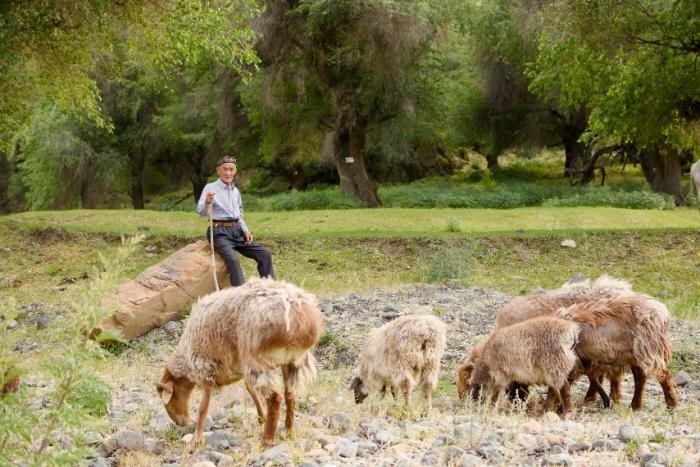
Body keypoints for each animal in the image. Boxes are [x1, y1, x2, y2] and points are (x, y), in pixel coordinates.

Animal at [156, 278, 323, 449]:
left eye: (169, 398)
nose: (180, 423)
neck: (186, 358)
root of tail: (298, 313)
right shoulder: (240, 368)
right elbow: (251, 391)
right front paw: (261, 417)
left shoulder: (206, 367)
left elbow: (203, 407)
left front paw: (196, 439)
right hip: (292, 360)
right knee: (290, 394)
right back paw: (289, 432)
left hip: (257, 358)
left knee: (275, 398)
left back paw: (267, 440)